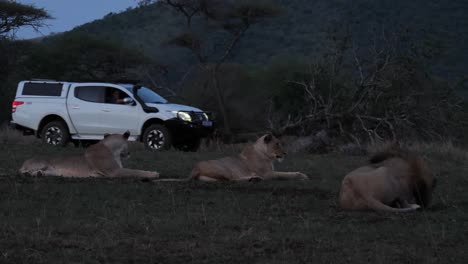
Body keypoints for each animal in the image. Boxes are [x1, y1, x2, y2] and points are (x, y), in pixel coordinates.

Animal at [19, 131, 158, 178]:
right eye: (128, 144)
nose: (129, 153)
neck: (115, 151)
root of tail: (24, 162)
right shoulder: (114, 172)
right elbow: (136, 171)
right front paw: (154, 174)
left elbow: (135, 170)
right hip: (42, 162)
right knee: (22, 172)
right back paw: (29, 173)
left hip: (53, 172)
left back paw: (39, 174)